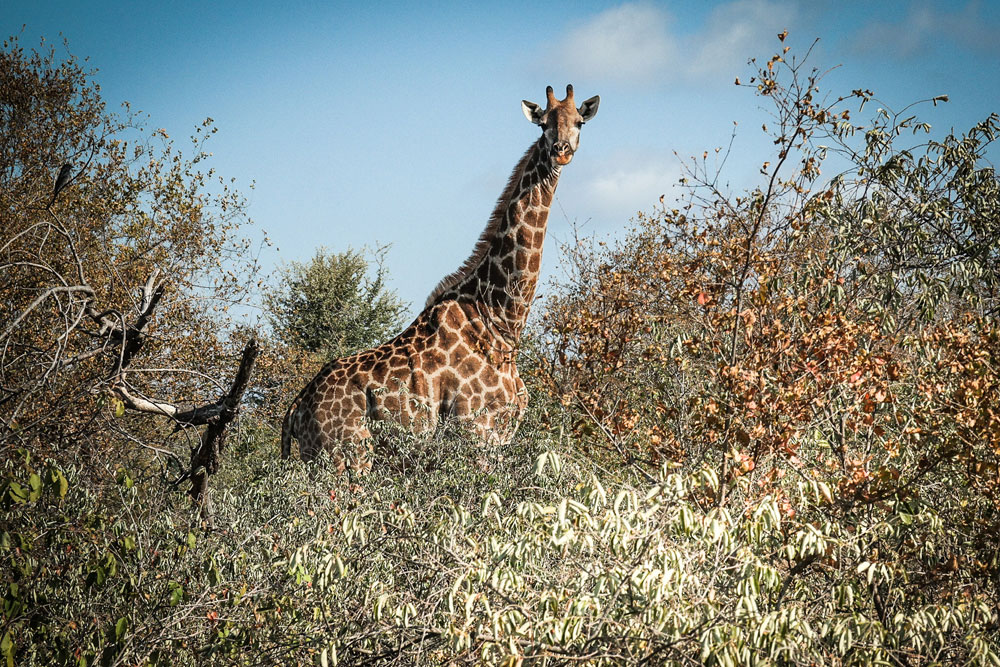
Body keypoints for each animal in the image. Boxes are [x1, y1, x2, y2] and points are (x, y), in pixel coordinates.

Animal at [278, 83, 596, 468]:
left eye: (579, 122)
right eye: (543, 125)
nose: (560, 151)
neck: (501, 322)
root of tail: (298, 407)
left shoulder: (501, 438)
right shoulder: (475, 432)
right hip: (345, 456)